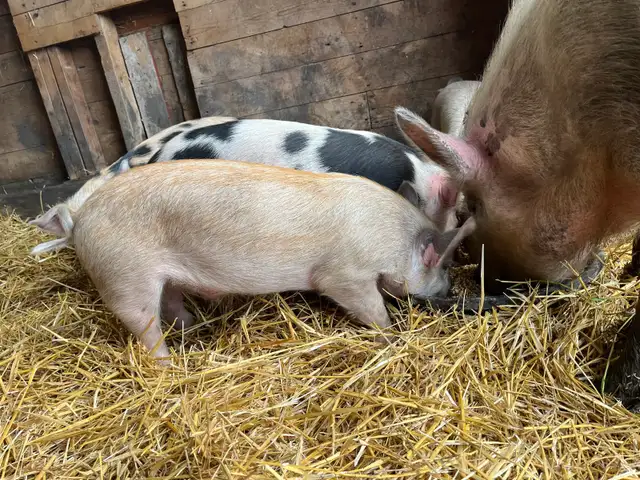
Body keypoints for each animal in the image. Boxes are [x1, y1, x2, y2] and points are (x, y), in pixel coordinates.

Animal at [45, 160, 476, 363]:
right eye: (445, 266)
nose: (449, 289)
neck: (392, 239)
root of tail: (81, 219)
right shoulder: (344, 276)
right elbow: (373, 309)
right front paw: (391, 337)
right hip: (124, 276)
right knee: (146, 329)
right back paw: (170, 366)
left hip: (159, 278)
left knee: (172, 306)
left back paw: (194, 332)